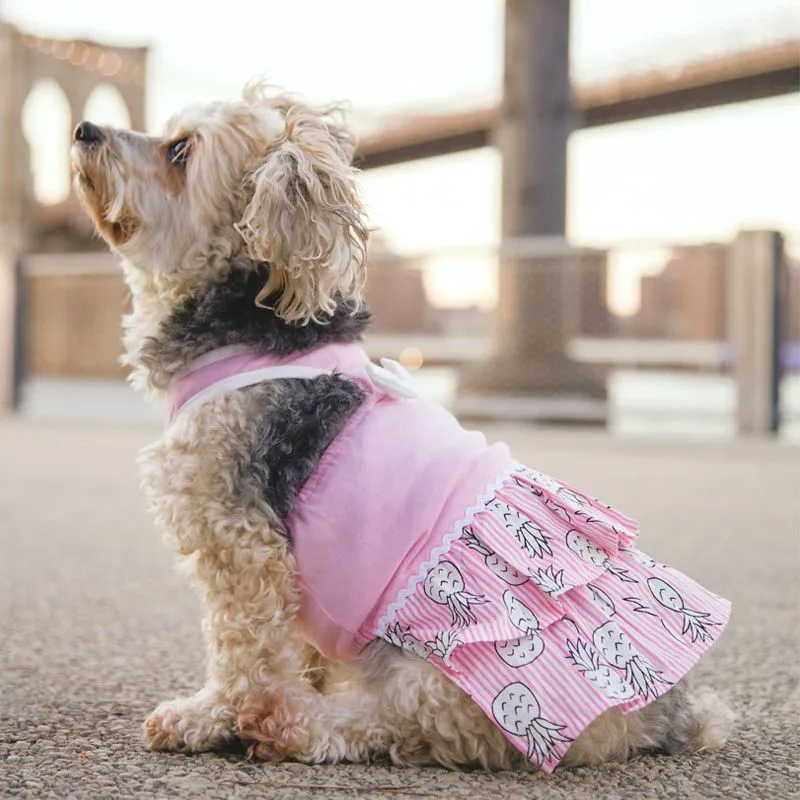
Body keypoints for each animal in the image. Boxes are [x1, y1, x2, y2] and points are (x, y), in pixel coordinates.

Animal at [72, 84, 736, 772]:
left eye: (179, 151)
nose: (85, 129)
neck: (249, 326)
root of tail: (662, 716)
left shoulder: (237, 541)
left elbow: (242, 654)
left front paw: (207, 717)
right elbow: (293, 649)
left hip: (452, 670)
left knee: (401, 725)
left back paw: (294, 725)